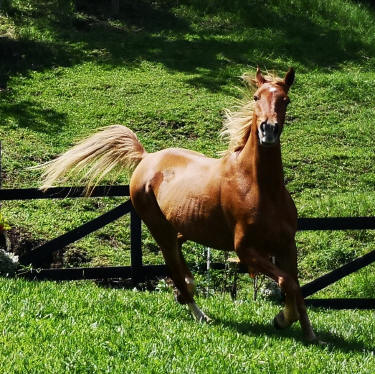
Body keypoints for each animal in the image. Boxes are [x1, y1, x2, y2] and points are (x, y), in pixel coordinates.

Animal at [41, 67, 318, 342]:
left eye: (285, 100)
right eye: (256, 97)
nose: (268, 130)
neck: (260, 187)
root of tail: (146, 158)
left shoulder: (286, 245)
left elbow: (294, 285)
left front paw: (307, 332)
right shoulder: (245, 249)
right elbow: (288, 282)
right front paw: (285, 321)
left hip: (182, 226)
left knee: (180, 257)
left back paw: (184, 291)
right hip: (158, 227)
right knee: (174, 266)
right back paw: (199, 313)